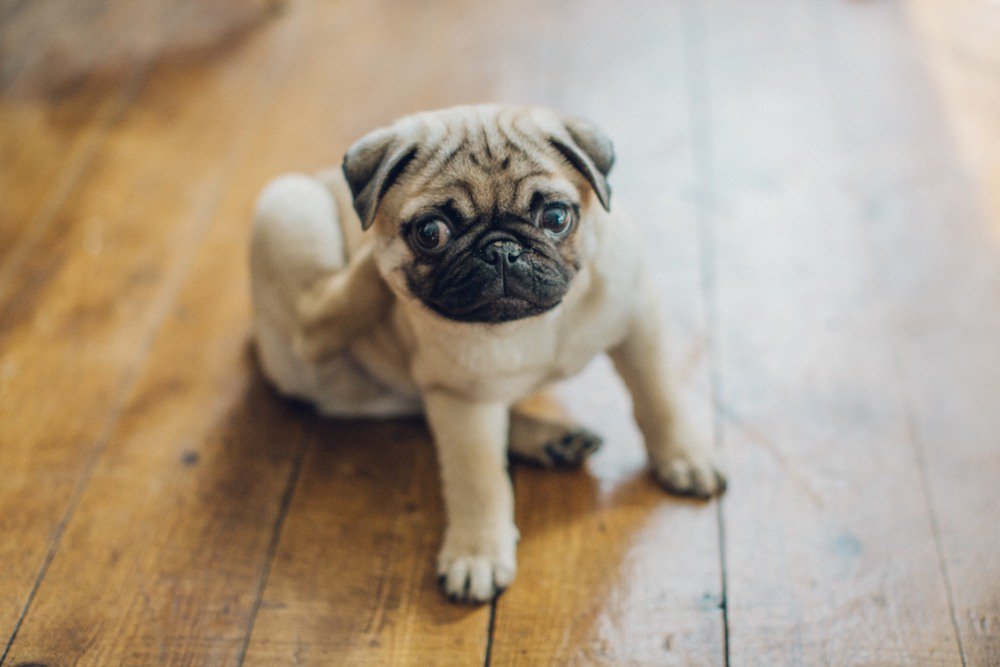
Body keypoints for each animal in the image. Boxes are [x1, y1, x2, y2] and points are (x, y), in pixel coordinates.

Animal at [246, 104, 724, 604]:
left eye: (556, 217)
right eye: (430, 233)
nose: (501, 250)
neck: (533, 324)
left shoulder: (638, 324)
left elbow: (658, 395)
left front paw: (684, 455)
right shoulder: (462, 398)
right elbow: (478, 478)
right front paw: (477, 553)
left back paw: (554, 440)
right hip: (287, 211)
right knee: (315, 323)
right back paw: (369, 270)